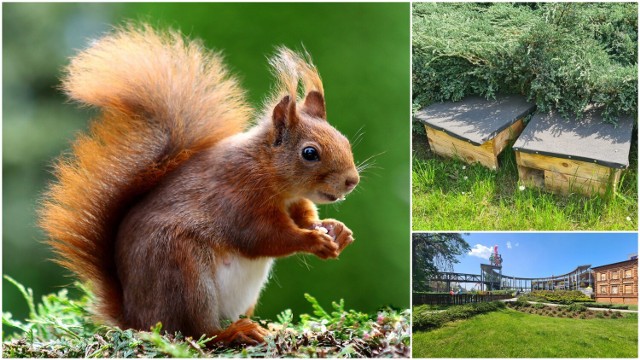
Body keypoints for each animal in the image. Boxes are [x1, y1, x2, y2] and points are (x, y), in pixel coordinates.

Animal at [38, 23, 360, 344]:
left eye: (344, 140)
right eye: (310, 153)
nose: (352, 181)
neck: (268, 172)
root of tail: (135, 318)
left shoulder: (293, 201)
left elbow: (304, 217)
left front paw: (336, 230)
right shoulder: (238, 197)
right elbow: (264, 237)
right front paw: (313, 240)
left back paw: (269, 328)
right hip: (184, 274)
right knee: (197, 331)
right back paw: (234, 332)